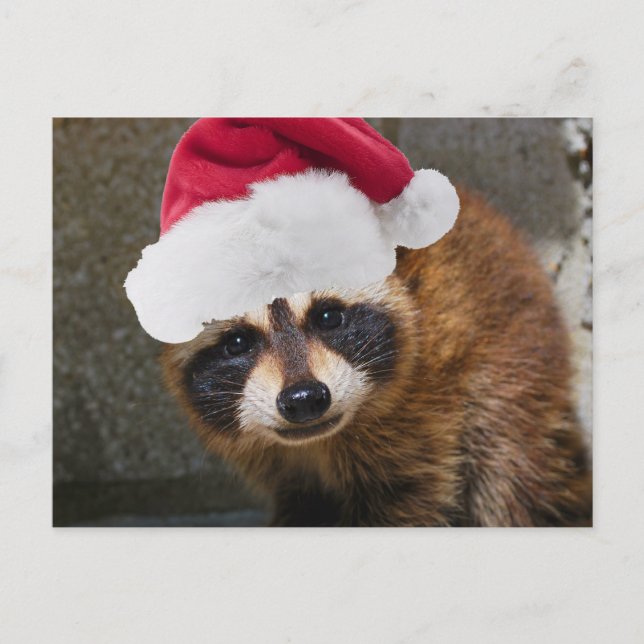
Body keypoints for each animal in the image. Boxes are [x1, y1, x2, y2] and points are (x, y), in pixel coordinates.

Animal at [162, 191, 592, 527]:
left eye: (328, 317)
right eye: (237, 342)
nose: (304, 399)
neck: (317, 444)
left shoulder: (420, 414)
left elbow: (409, 500)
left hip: (513, 355)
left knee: (504, 467)